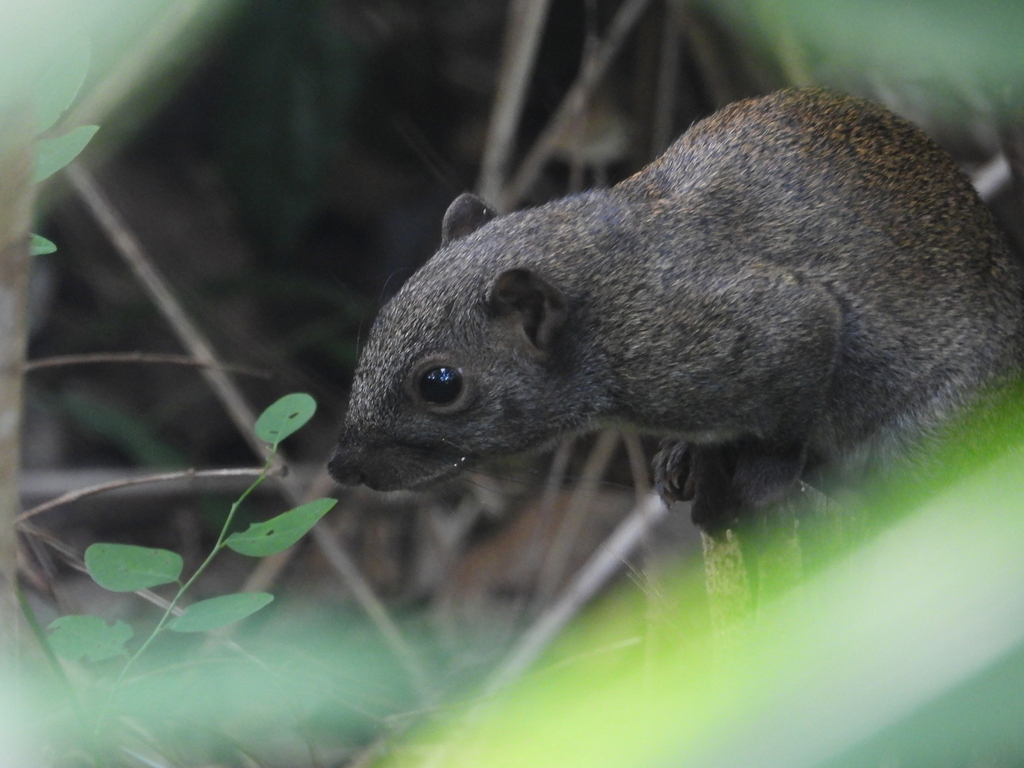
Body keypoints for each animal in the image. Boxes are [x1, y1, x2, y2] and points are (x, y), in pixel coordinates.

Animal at [328, 87, 1023, 532]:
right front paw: (682, 458)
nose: (341, 467)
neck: (608, 290)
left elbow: (792, 393)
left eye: (440, 384)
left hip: (939, 431)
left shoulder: (748, 327)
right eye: (381, 322)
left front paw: (764, 480)